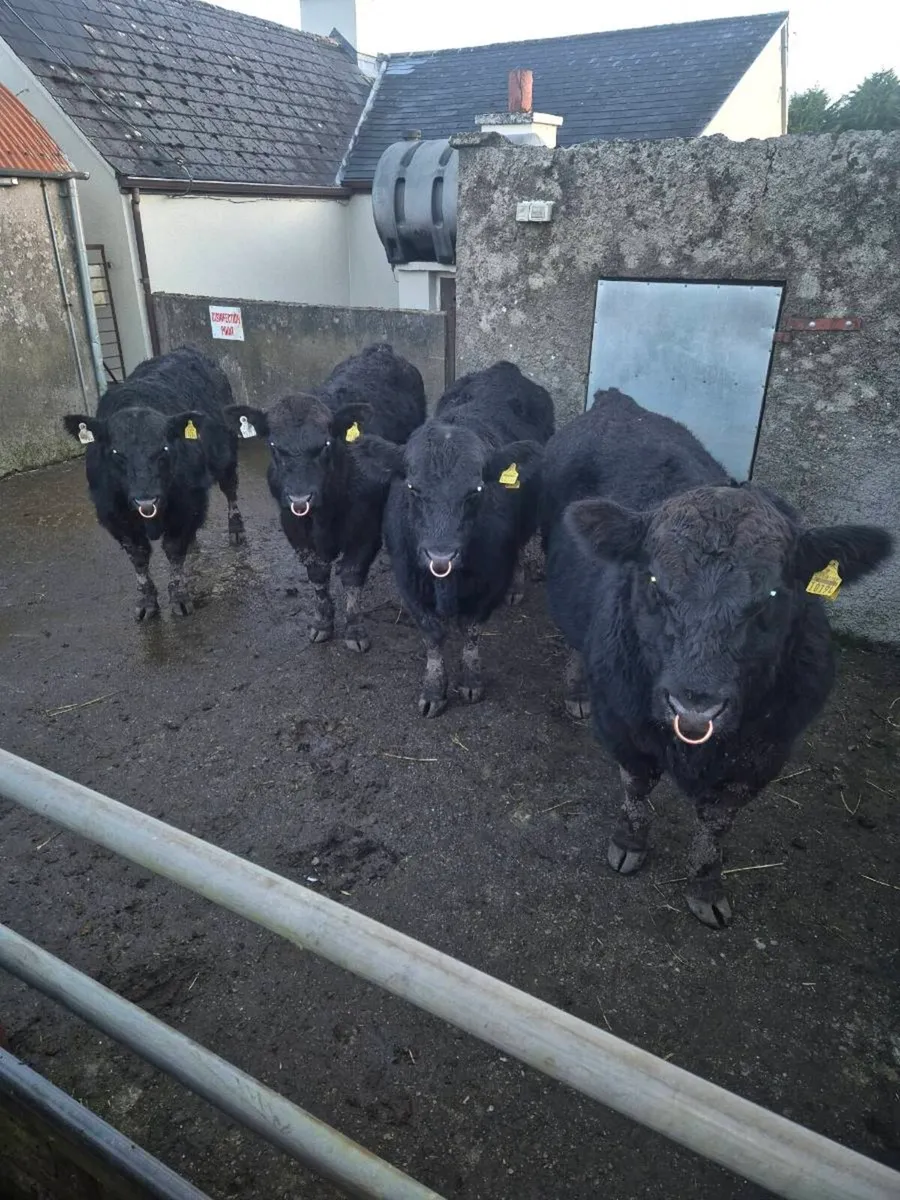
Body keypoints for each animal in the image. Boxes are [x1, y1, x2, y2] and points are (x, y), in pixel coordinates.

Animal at [64, 346, 244, 620]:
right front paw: (147, 601)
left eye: (164, 449)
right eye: (116, 453)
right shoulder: (112, 514)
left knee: (230, 489)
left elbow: (173, 549)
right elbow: (139, 556)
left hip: (227, 456)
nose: (146, 499)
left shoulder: (187, 502)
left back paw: (236, 529)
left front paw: (179, 597)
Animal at [225, 343, 426, 652]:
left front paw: (354, 630)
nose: (300, 496)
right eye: (274, 446)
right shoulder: (293, 525)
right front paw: (322, 623)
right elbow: (317, 574)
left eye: (325, 444)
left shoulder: (366, 526)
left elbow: (352, 573)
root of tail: (380, 349)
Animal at [384, 361, 555, 716]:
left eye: (475, 491)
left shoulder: (490, 582)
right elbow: (433, 636)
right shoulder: (408, 581)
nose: (440, 556)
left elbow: (472, 631)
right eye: (413, 489)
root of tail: (505, 368)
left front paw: (471, 681)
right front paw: (434, 689)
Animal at [542, 389, 892, 928]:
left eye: (772, 594)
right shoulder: (622, 724)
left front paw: (706, 885)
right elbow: (636, 788)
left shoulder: (765, 753)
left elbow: (717, 822)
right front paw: (629, 844)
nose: (695, 702)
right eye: (654, 582)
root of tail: (616, 400)